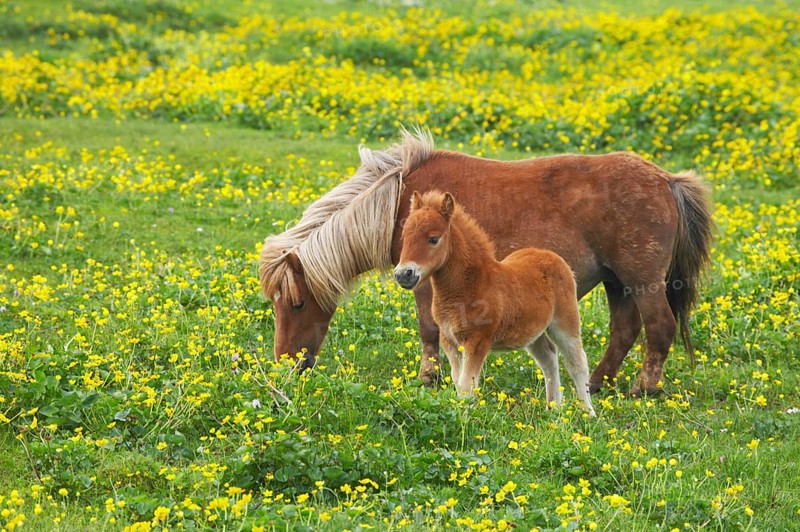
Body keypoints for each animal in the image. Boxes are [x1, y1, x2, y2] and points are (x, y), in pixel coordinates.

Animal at [395, 190, 596, 414]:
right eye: (405, 237)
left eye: (433, 239)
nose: (403, 274)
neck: (470, 285)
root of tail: (553, 256)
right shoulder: (449, 340)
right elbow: (457, 380)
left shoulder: (477, 341)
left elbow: (466, 385)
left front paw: (466, 417)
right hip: (532, 333)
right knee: (549, 359)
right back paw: (552, 409)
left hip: (564, 322)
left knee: (577, 362)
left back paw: (588, 412)